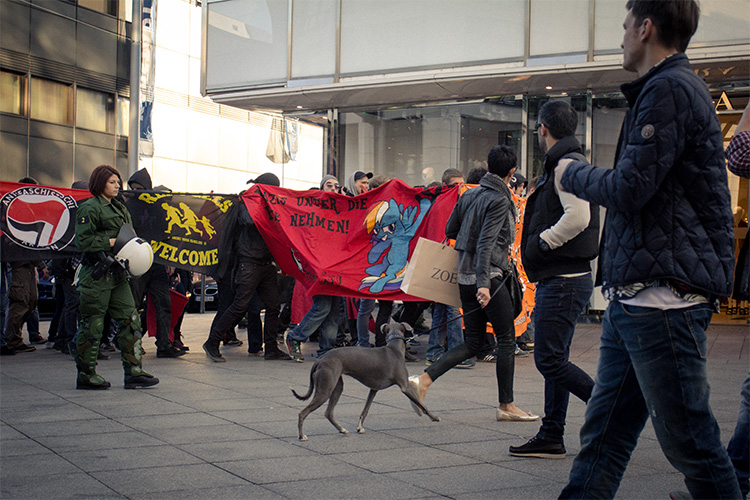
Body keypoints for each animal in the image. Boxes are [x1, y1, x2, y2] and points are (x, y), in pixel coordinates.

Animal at [290, 322, 440, 440]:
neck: (394, 349)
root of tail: (320, 359)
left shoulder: (374, 389)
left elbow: (365, 410)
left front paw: (359, 427)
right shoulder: (404, 386)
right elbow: (422, 404)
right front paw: (434, 417)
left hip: (337, 387)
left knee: (328, 412)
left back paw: (342, 430)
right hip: (325, 389)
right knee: (303, 413)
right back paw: (302, 436)